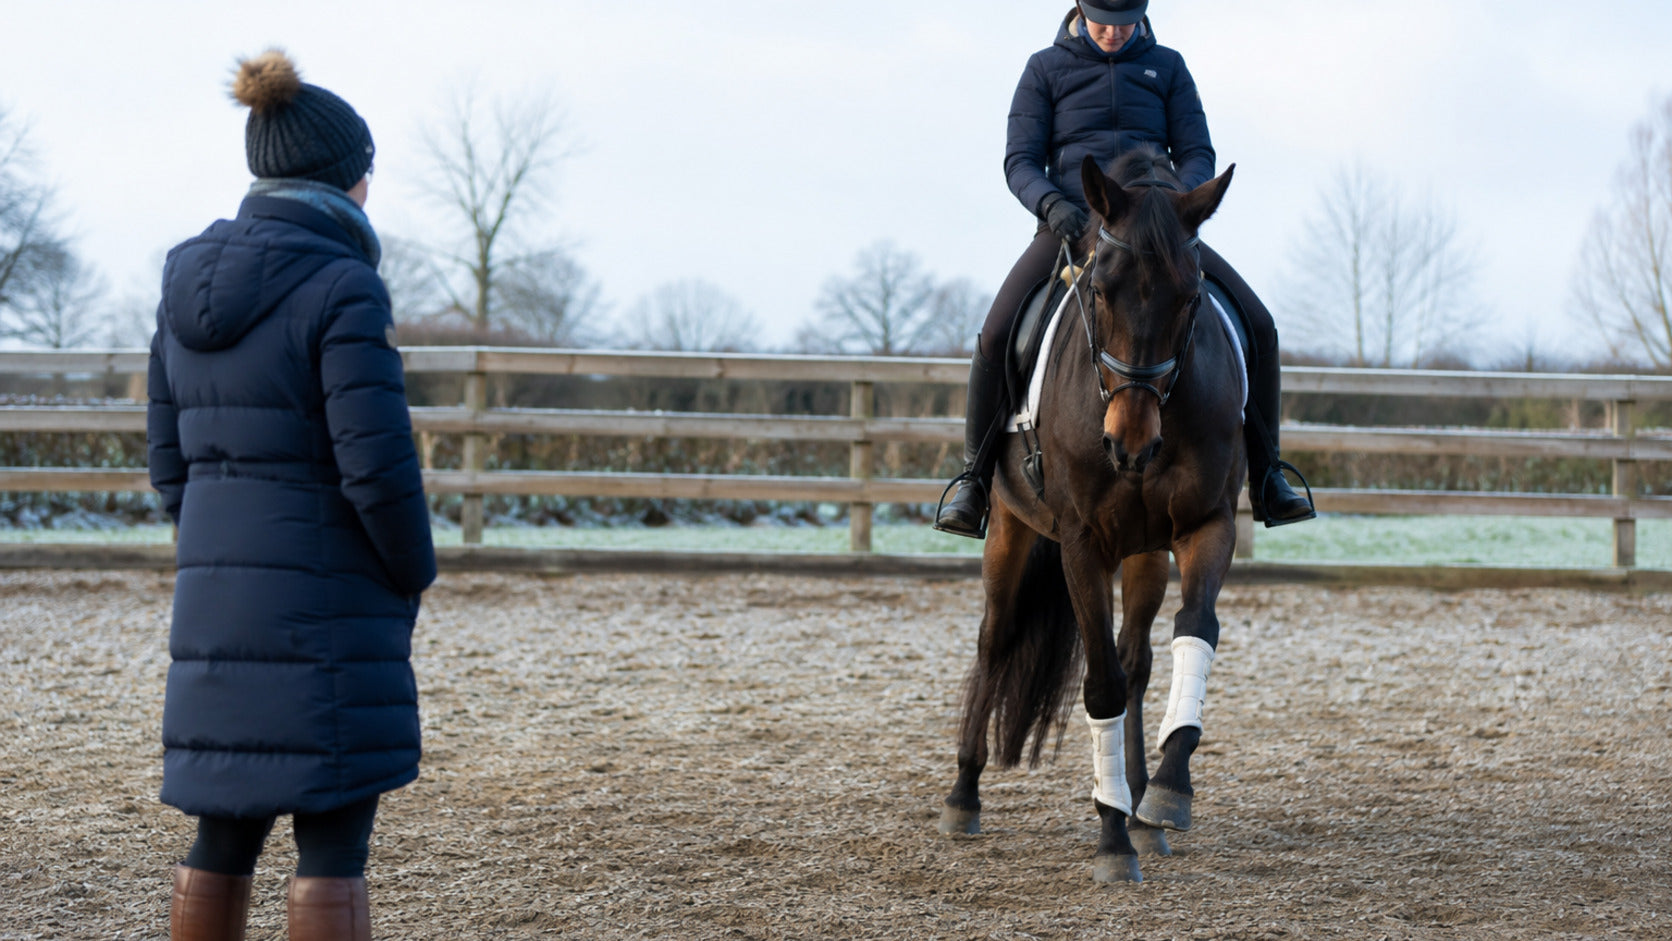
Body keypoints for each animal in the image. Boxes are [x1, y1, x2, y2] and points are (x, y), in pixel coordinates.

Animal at [937, 147, 1244, 885]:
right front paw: (1110, 840)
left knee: (1138, 659)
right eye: (1100, 291)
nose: (1130, 444)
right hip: (1012, 529)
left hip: (1146, 549)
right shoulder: (1082, 543)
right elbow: (1099, 683)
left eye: (1192, 296)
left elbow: (1195, 631)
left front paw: (1166, 791)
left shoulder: (1205, 526)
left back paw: (1138, 801)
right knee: (995, 640)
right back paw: (964, 796)